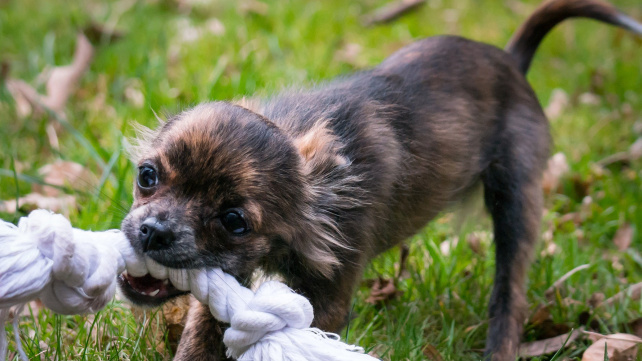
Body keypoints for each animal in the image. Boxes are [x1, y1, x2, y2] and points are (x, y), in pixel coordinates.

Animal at [117, 1, 640, 358]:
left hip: (517, 201)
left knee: (509, 294)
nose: (153, 231)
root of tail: (511, 61)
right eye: (147, 175)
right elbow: (199, 336)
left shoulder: (327, 297)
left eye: (234, 221)